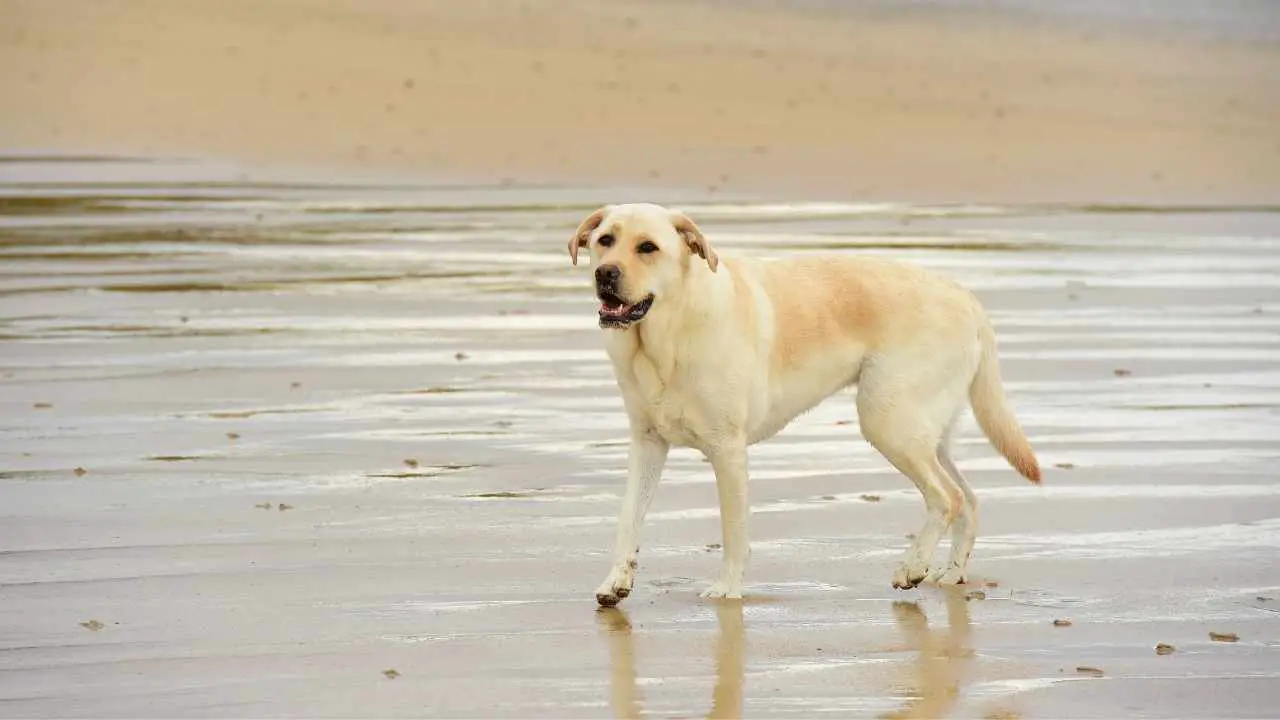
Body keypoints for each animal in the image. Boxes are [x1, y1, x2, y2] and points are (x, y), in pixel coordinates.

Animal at [570, 203, 1039, 604]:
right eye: (605, 240)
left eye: (648, 247)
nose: (605, 274)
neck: (663, 338)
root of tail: (965, 296)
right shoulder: (648, 444)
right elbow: (628, 519)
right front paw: (615, 581)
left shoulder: (728, 450)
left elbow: (733, 531)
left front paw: (728, 589)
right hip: (923, 431)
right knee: (969, 500)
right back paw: (951, 573)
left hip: (888, 422)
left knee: (947, 497)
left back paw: (913, 567)